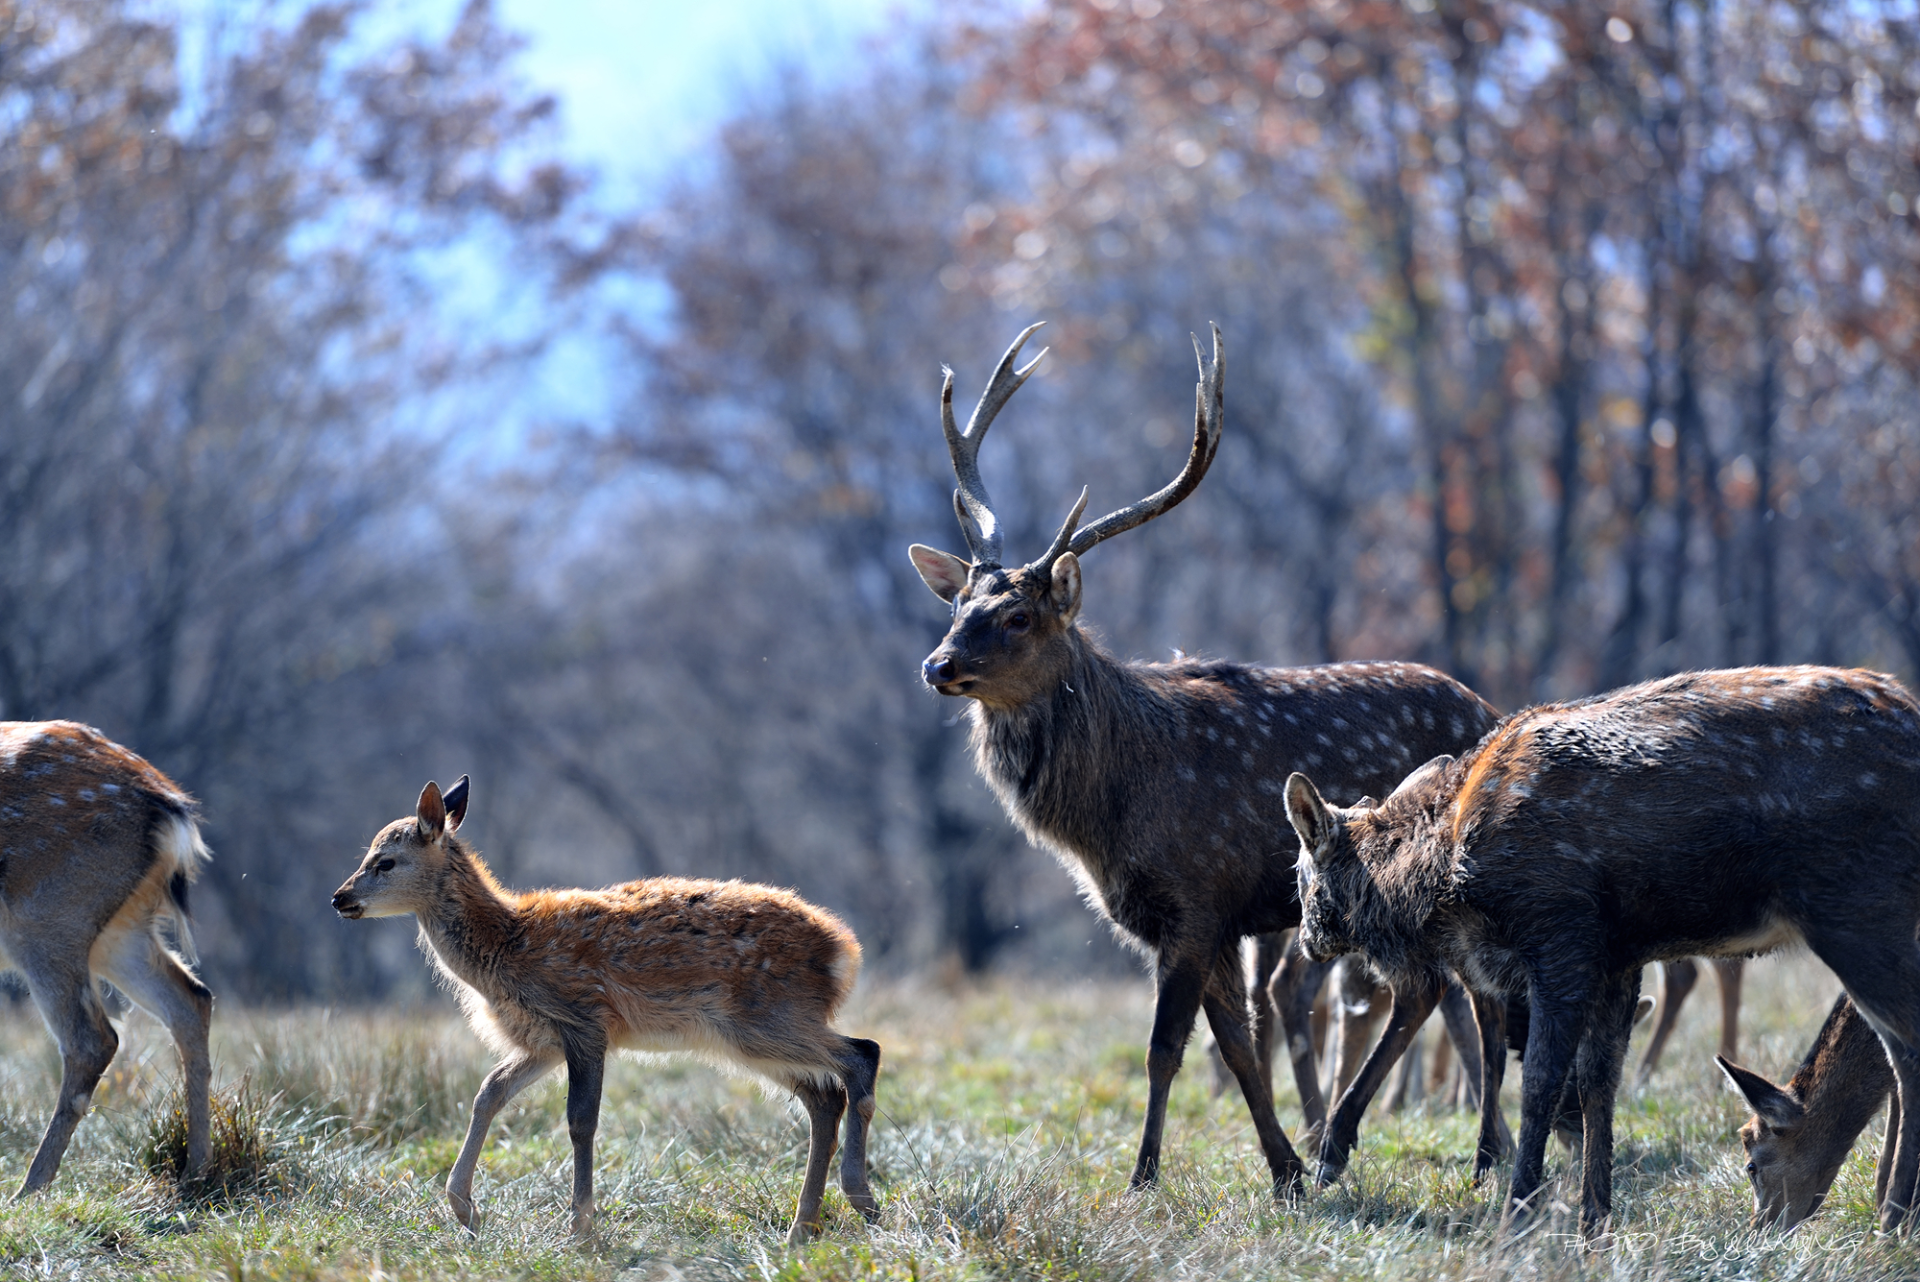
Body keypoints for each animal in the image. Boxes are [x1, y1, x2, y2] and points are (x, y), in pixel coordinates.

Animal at [0, 725, 212, 1197]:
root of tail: (169, 803)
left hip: (48, 919)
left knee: (93, 1039)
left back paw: (29, 1189)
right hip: (120, 929)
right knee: (192, 998)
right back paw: (196, 1172)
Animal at [336, 775, 883, 1243]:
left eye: (385, 861)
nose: (339, 898)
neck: (507, 945)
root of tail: (843, 951)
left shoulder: (584, 1019)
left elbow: (581, 1121)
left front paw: (581, 1230)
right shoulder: (542, 1041)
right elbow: (488, 1092)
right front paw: (465, 1210)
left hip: (762, 1018)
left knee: (862, 1053)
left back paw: (861, 1199)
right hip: (750, 1037)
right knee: (823, 1095)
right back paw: (803, 1229)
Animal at [906, 322, 1505, 1205]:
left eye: (1018, 617)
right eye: (957, 604)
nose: (937, 664)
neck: (1111, 815)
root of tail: (1492, 711)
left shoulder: (1194, 899)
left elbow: (1167, 1049)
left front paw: (1144, 1176)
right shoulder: (1212, 922)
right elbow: (1239, 1047)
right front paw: (1283, 1171)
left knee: (1436, 992)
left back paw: (1390, 1146)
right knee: (1466, 998)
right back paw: (1480, 1154)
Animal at [1282, 667, 1920, 1235]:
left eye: (1303, 871)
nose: (1309, 939)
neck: (1446, 864)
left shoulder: (1560, 935)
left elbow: (1541, 1081)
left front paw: (1520, 1212)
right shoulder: (1620, 959)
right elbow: (1597, 1082)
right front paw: (1595, 1218)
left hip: (1857, 908)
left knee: (1905, 1050)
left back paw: (1892, 1217)